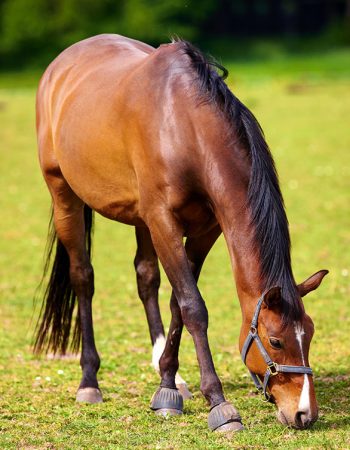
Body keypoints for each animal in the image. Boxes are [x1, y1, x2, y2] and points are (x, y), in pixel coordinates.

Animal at [34, 33, 326, 430]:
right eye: (276, 341)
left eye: (308, 334)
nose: (304, 413)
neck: (184, 127)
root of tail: (60, 65)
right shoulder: (164, 222)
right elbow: (193, 307)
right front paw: (219, 404)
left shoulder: (204, 230)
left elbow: (177, 303)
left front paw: (167, 389)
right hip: (64, 194)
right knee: (83, 278)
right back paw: (89, 381)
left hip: (139, 219)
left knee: (146, 278)